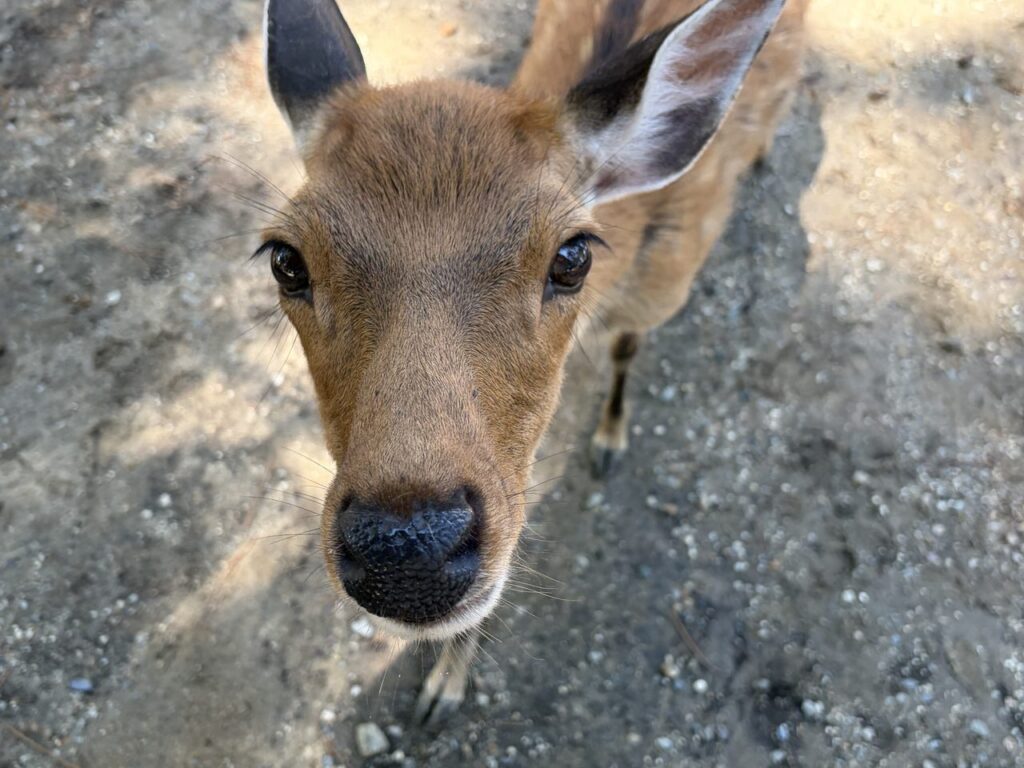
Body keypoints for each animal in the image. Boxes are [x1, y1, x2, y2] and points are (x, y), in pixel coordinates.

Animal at [257, 0, 807, 723]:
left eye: (571, 256)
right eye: (285, 259)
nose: (407, 551)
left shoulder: (661, 294)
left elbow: (627, 350)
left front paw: (609, 441)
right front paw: (442, 685)